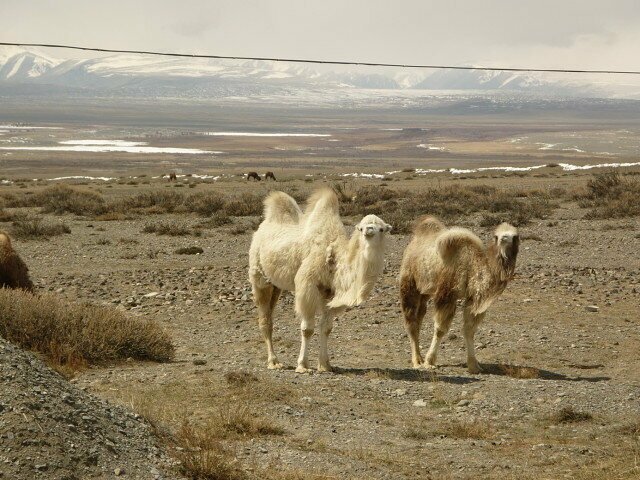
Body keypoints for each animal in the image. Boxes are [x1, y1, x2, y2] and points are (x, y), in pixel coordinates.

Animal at [249, 187, 390, 372]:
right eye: (361, 228)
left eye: (381, 229)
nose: (369, 231)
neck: (334, 256)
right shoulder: (307, 285)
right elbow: (308, 329)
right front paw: (302, 365)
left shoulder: (330, 292)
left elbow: (327, 328)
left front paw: (325, 365)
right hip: (259, 277)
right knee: (265, 319)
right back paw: (274, 362)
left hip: (276, 285)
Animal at [400, 218, 520, 376]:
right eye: (496, 236)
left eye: (515, 236)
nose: (504, 238)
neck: (472, 265)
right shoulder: (447, 295)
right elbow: (440, 329)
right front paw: (429, 362)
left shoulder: (472, 299)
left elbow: (469, 330)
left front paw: (474, 366)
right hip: (409, 282)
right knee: (411, 322)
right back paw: (416, 362)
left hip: (425, 291)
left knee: (419, 318)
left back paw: (419, 357)